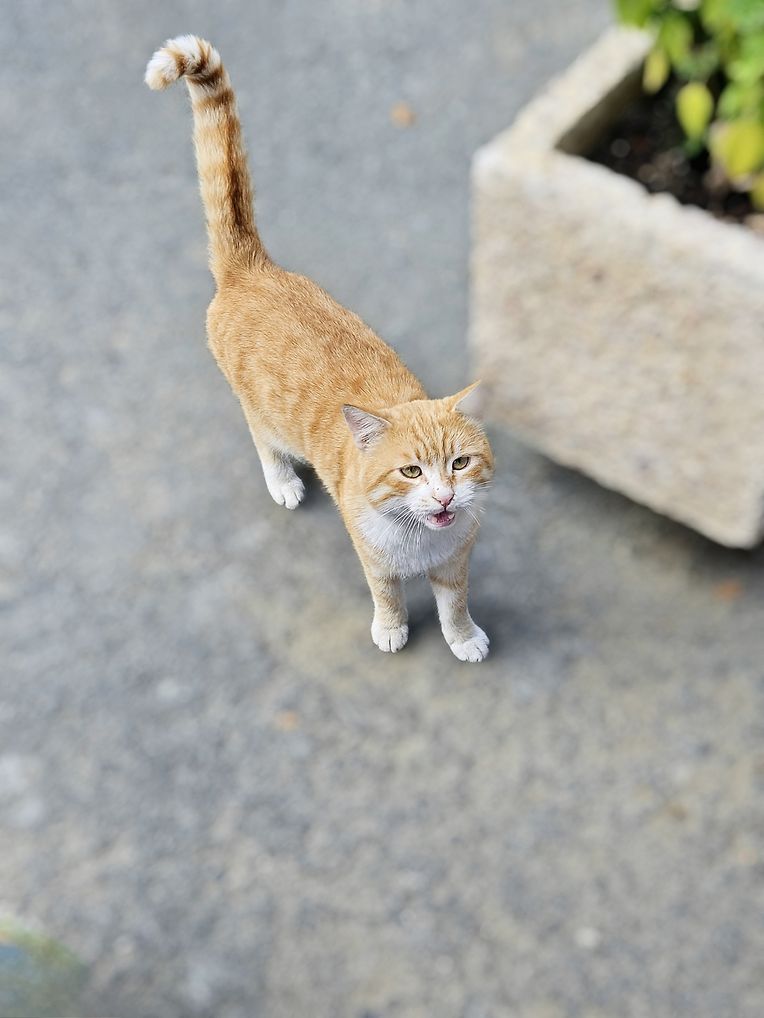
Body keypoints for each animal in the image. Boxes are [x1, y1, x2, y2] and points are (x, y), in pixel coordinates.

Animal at [145, 35, 494, 661]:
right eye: (410, 471)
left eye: (460, 463)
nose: (444, 498)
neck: (423, 543)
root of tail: (253, 269)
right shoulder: (374, 558)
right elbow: (388, 595)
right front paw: (391, 628)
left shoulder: (457, 562)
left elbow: (454, 605)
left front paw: (463, 638)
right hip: (265, 416)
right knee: (262, 439)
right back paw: (282, 480)